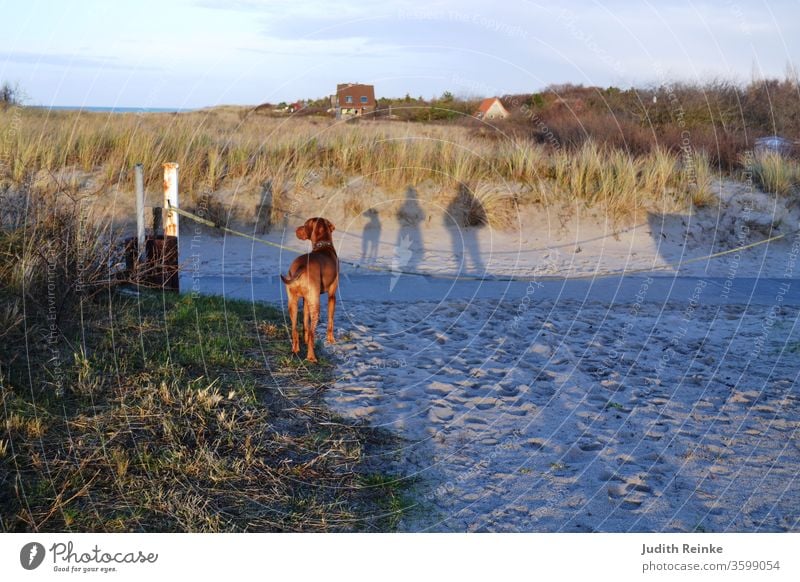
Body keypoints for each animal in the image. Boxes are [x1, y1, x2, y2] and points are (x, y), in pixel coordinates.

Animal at [282, 219, 338, 364]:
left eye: (305, 224)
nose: (296, 229)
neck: (323, 245)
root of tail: (302, 266)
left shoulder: (305, 300)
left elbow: (305, 323)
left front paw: (305, 340)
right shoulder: (332, 296)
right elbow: (330, 320)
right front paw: (331, 339)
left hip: (293, 303)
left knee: (294, 328)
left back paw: (295, 350)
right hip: (316, 306)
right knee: (313, 333)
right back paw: (311, 357)